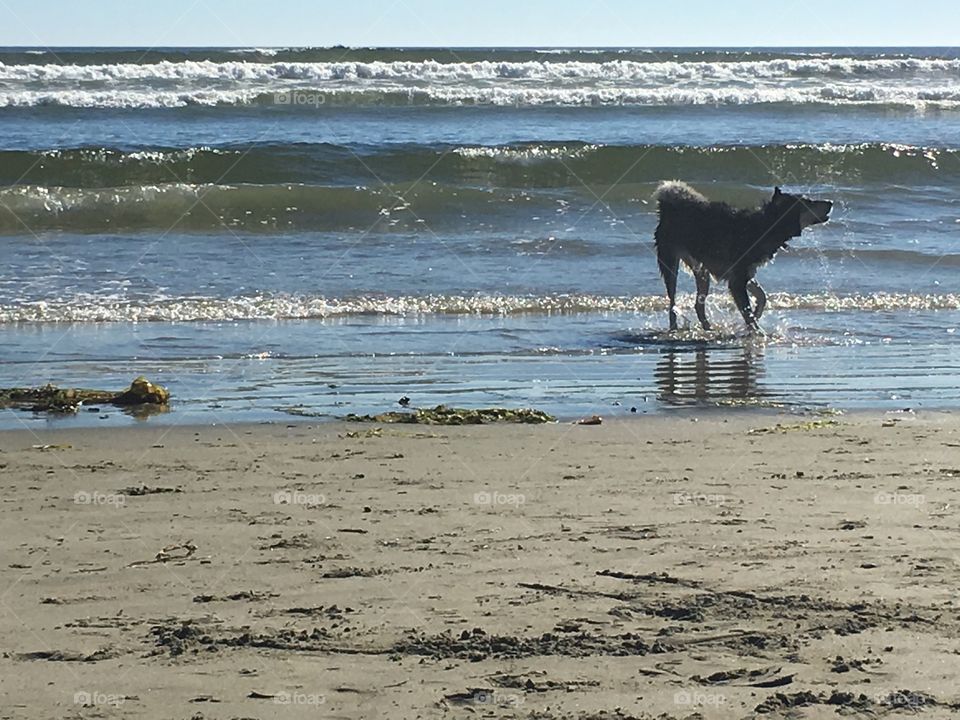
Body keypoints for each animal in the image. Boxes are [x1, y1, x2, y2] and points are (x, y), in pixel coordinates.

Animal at [652, 184, 832, 334]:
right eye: (808, 202)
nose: (830, 202)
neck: (765, 226)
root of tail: (668, 207)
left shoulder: (744, 273)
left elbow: (762, 296)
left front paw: (757, 315)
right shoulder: (737, 280)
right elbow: (747, 310)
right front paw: (758, 332)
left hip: (702, 271)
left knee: (698, 304)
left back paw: (708, 328)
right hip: (670, 264)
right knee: (672, 303)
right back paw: (674, 328)